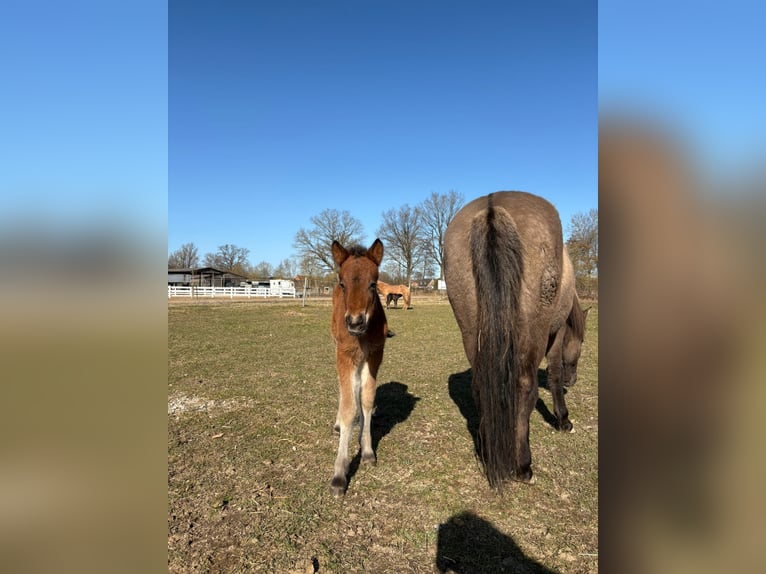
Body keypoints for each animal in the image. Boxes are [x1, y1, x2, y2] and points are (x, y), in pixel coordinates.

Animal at [444, 191, 588, 489]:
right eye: (580, 346)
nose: (573, 381)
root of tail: (492, 207)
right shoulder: (556, 334)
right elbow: (553, 374)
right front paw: (563, 419)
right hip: (533, 334)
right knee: (525, 387)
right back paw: (522, 464)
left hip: (471, 333)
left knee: (480, 386)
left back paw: (489, 453)